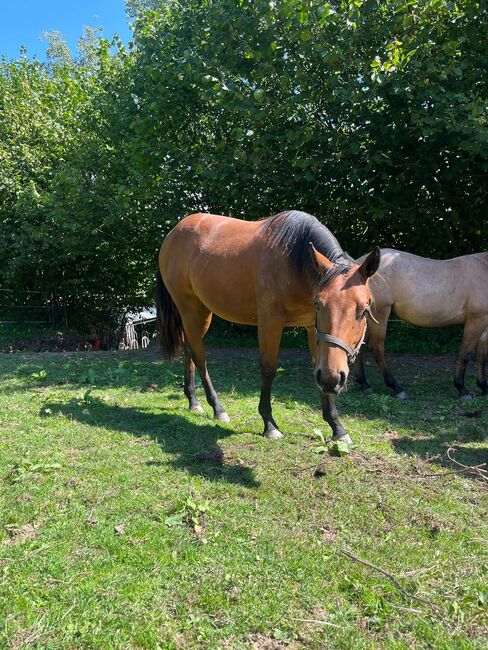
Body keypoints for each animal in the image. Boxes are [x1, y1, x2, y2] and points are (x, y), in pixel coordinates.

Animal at [156, 210, 382, 442]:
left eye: (365, 310)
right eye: (319, 304)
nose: (332, 379)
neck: (293, 259)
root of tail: (173, 233)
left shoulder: (313, 328)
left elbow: (316, 365)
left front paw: (337, 427)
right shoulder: (270, 321)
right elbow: (268, 368)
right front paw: (269, 424)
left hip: (202, 313)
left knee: (190, 350)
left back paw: (193, 400)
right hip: (190, 310)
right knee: (200, 356)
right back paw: (217, 408)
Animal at [352, 248, 488, 400]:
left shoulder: (485, 324)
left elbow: (482, 356)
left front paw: (484, 387)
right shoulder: (475, 320)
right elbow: (466, 353)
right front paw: (462, 388)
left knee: (360, 346)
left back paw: (364, 384)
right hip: (380, 313)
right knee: (376, 348)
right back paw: (396, 387)